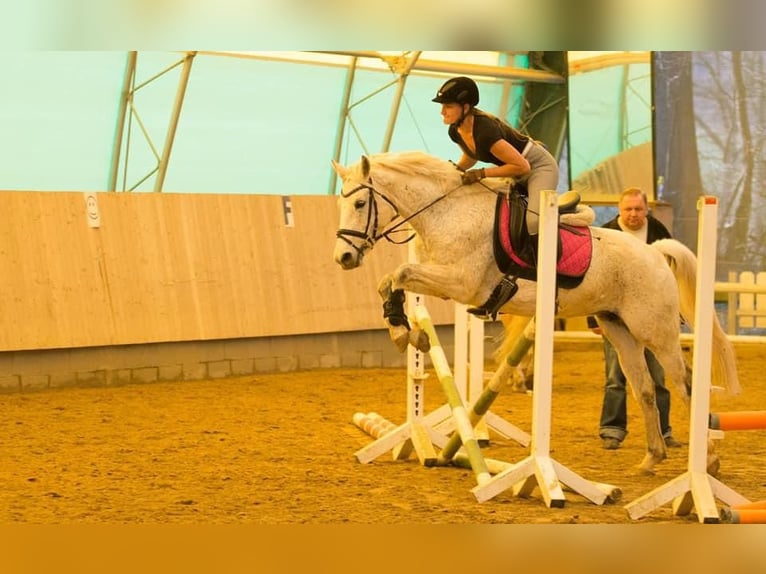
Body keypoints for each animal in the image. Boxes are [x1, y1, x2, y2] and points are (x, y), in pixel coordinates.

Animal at [332, 150, 740, 476]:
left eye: (359, 204)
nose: (344, 258)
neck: (449, 212)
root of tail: (655, 252)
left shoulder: (461, 283)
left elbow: (400, 274)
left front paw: (406, 332)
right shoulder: (443, 280)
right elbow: (391, 281)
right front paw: (406, 332)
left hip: (656, 331)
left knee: (686, 385)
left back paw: (709, 460)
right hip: (619, 329)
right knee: (644, 389)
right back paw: (651, 459)